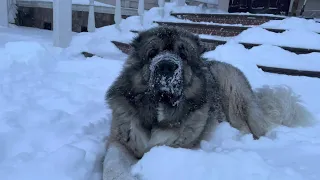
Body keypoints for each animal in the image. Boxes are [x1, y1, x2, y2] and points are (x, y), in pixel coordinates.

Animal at [102, 26, 316, 179]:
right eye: (152, 53)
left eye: (183, 55)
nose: (166, 66)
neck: (159, 112)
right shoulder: (120, 141)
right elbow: (112, 166)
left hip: (235, 93)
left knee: (251, 128)